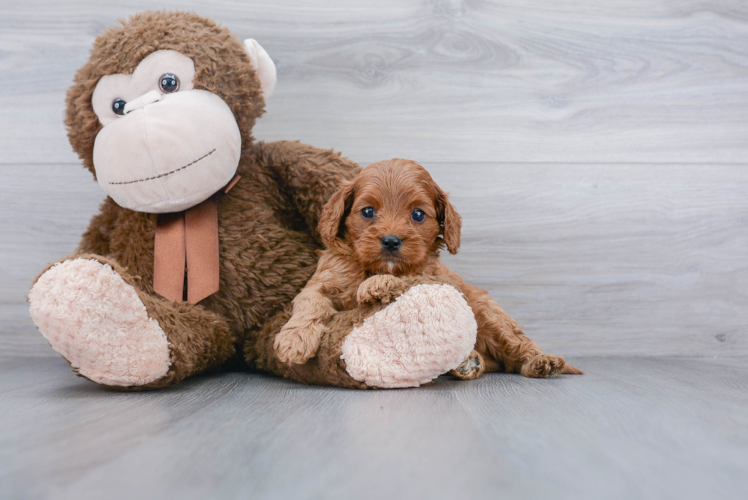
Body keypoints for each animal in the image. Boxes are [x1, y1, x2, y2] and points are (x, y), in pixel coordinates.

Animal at [274, 159, 584, 378]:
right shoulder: (322, 281)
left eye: (418, 214)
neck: (374, 267)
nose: (391, 240)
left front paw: (376, 286)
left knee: (516, 348)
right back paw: (469, 362)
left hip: (487, 313)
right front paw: (294, 339)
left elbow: (412, 279)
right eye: (368, 211)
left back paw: (540, 362)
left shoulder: (438, 279)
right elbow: (310, 303)